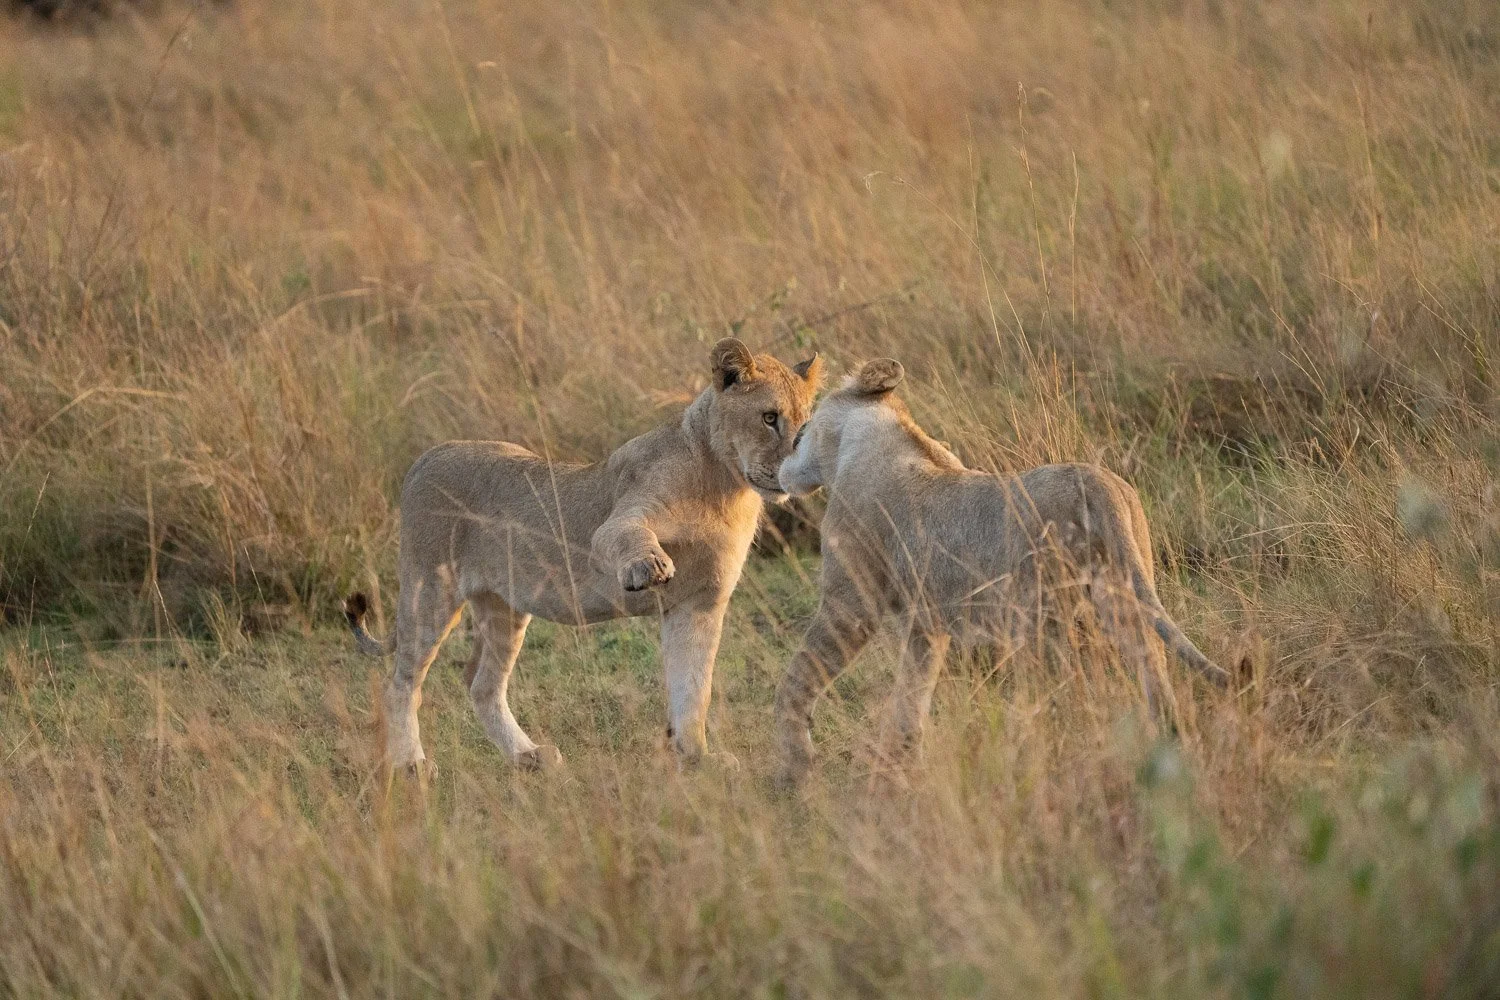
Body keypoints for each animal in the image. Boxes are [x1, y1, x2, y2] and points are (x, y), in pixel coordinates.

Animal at [345, 338, 823, 772]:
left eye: (806, 426)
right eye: (769, 418)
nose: (794, 472)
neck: (726, 488)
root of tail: (425, 458)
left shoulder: (700, 603)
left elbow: (693, 687)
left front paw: (696, 758)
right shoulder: (618, 522)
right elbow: (625, 535)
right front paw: (648, 565)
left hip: (504, 606)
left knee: (482, 684)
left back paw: (528, 756)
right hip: (430, 593)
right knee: (401, 684)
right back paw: (412, 764)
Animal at [772, 358, 1229, 786]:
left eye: (804, 426)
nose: (785, 454)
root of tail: (1097, 482)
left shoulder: (851, 606)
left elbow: (799, 676)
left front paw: (795, 769)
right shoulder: (926, 626)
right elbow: (911, 698)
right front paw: (900, 766)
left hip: (1042, 622)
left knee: (1070, 695)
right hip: (1123, 596)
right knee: (1152, 666)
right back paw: (1168, 743)